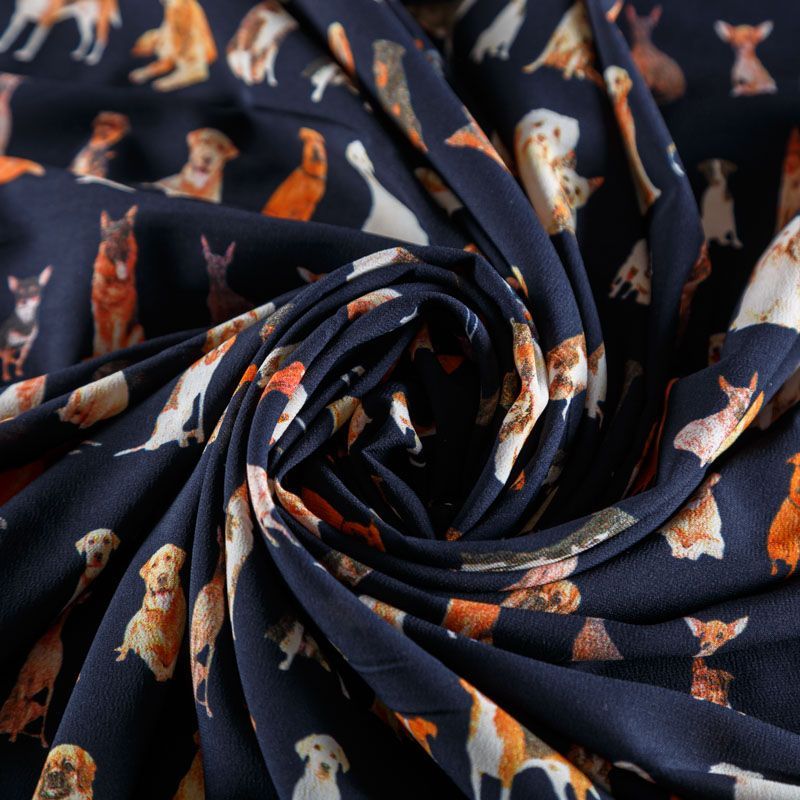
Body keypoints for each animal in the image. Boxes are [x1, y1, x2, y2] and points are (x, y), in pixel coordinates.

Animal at [91, 205, 144, 357]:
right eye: (110, 237)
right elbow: (99, 347)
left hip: (138, 329)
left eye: (125, 234)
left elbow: (117, 347)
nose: (121, 254)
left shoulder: (120, 322)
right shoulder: (98, 321)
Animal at [115, 543, 187, 681]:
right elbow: (156, 663)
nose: (162, 578)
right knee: (126, 647)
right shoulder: (147, 647)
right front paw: (161, 675)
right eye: (153, 565)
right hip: (130, 630)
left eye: (169, 557)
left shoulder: (174, 647)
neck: (163, 613)